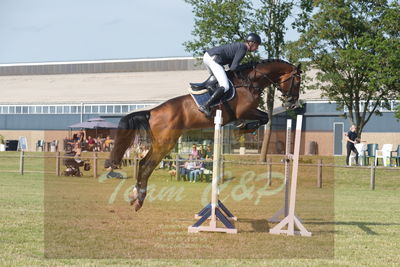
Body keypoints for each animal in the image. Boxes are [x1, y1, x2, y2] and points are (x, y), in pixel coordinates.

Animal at [106, 59, 300, 213]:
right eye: (297, 81)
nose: (292, 103)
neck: (250, 82)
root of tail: (151, 112)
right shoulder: (245, 111)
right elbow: (264, 117)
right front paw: (242, 128)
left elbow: (264, 117)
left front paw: (243, 127)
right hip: (165, 144)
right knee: (147, 165)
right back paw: (139, 198)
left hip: (160, 143)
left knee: (143, 163)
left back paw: (135, 196)